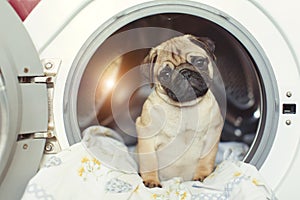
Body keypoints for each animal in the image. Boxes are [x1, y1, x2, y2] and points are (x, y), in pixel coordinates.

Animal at [135, 34, 223, 188]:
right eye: (166, 74)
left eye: (199, 62)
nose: (185, 73)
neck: (185, 107)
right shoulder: (146, 134)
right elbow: (149, 161)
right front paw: (152, 181)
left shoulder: (213, 132)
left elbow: (206, 160)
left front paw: (202, 176)